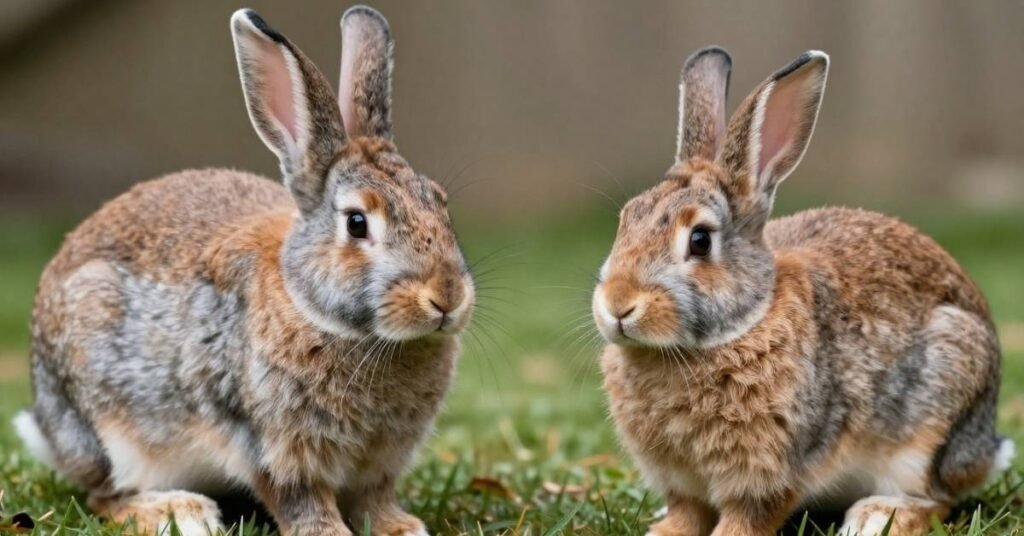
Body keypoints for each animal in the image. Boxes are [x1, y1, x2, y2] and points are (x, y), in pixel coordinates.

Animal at [13, 6, 473, 536]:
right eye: (357, 223)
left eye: (439, 202)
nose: (447, 297)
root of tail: (48, 427)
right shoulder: (268, 443)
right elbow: (299, 499)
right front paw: (330, 532)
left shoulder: (380, 461)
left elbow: (374, 497)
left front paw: (400, 527)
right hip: (108, 424)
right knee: (101, 495)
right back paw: (181, 511)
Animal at [592, 46, 1011, 536]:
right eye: (626, 220)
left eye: (699, 240)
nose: (618, 306)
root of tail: (986, 450)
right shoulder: (681, 481)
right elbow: (686, 512)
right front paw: (664, 529)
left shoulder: (770, 471)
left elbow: (746, 518)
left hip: (932, 422)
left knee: (937, 497)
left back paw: (875, 517)